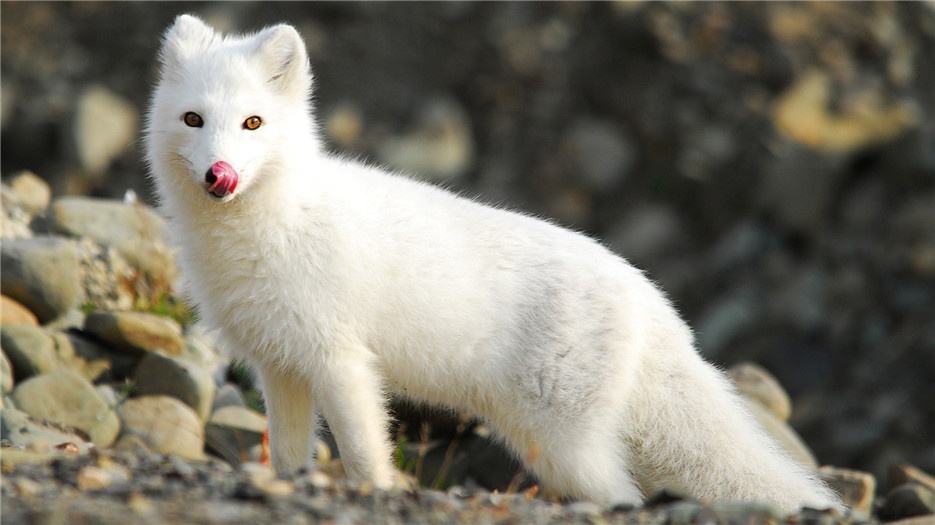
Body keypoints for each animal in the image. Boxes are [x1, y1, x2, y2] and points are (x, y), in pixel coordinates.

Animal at [146, 15, 848, 512]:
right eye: (193, 119)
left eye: (253, 123)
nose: (219, 175)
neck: (279, 223)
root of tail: (648, 296)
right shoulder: (281, 365)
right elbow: (290, 455)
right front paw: (289, 486)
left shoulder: (340, 358)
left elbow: (365, 452)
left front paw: (378, 494)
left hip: (562, 443)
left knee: (623, 497)